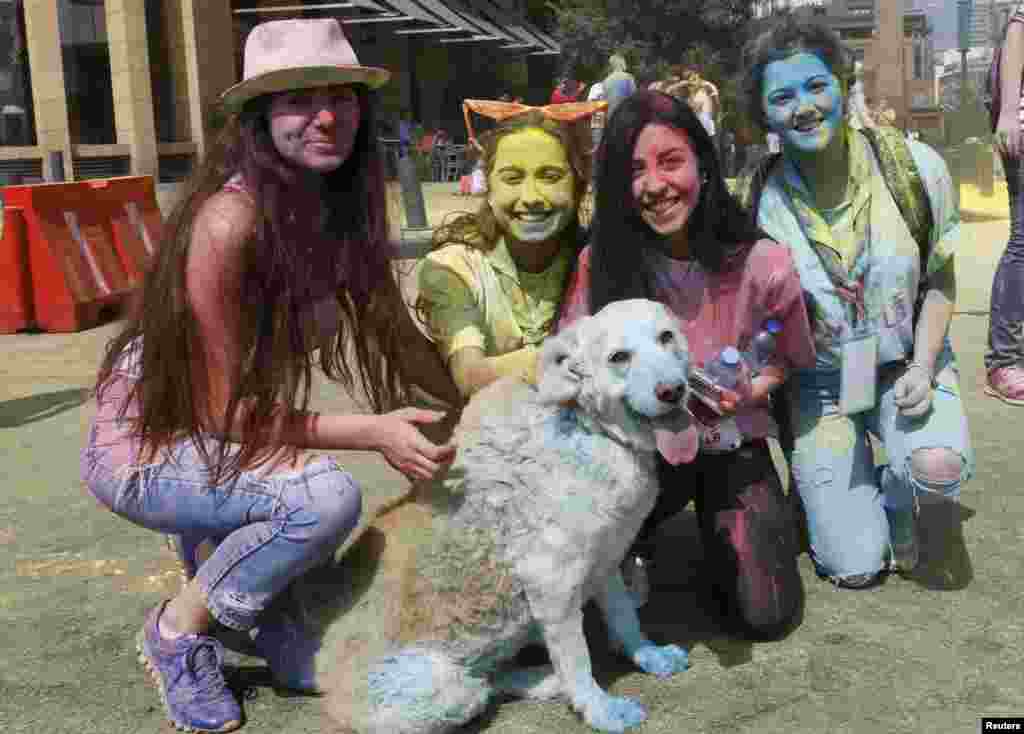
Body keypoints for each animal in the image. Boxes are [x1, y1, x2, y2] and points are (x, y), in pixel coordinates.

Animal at [323, 298, 700, 732]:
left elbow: (624, 617)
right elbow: (578, 660)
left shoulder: (604, 559)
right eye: (619, 357)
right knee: (481, 685)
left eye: (666, 337)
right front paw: (599, 708)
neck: (586, 429)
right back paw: (546, 680)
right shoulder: (553, 585)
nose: (673, 391)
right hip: (440, 691)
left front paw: (646, 655)